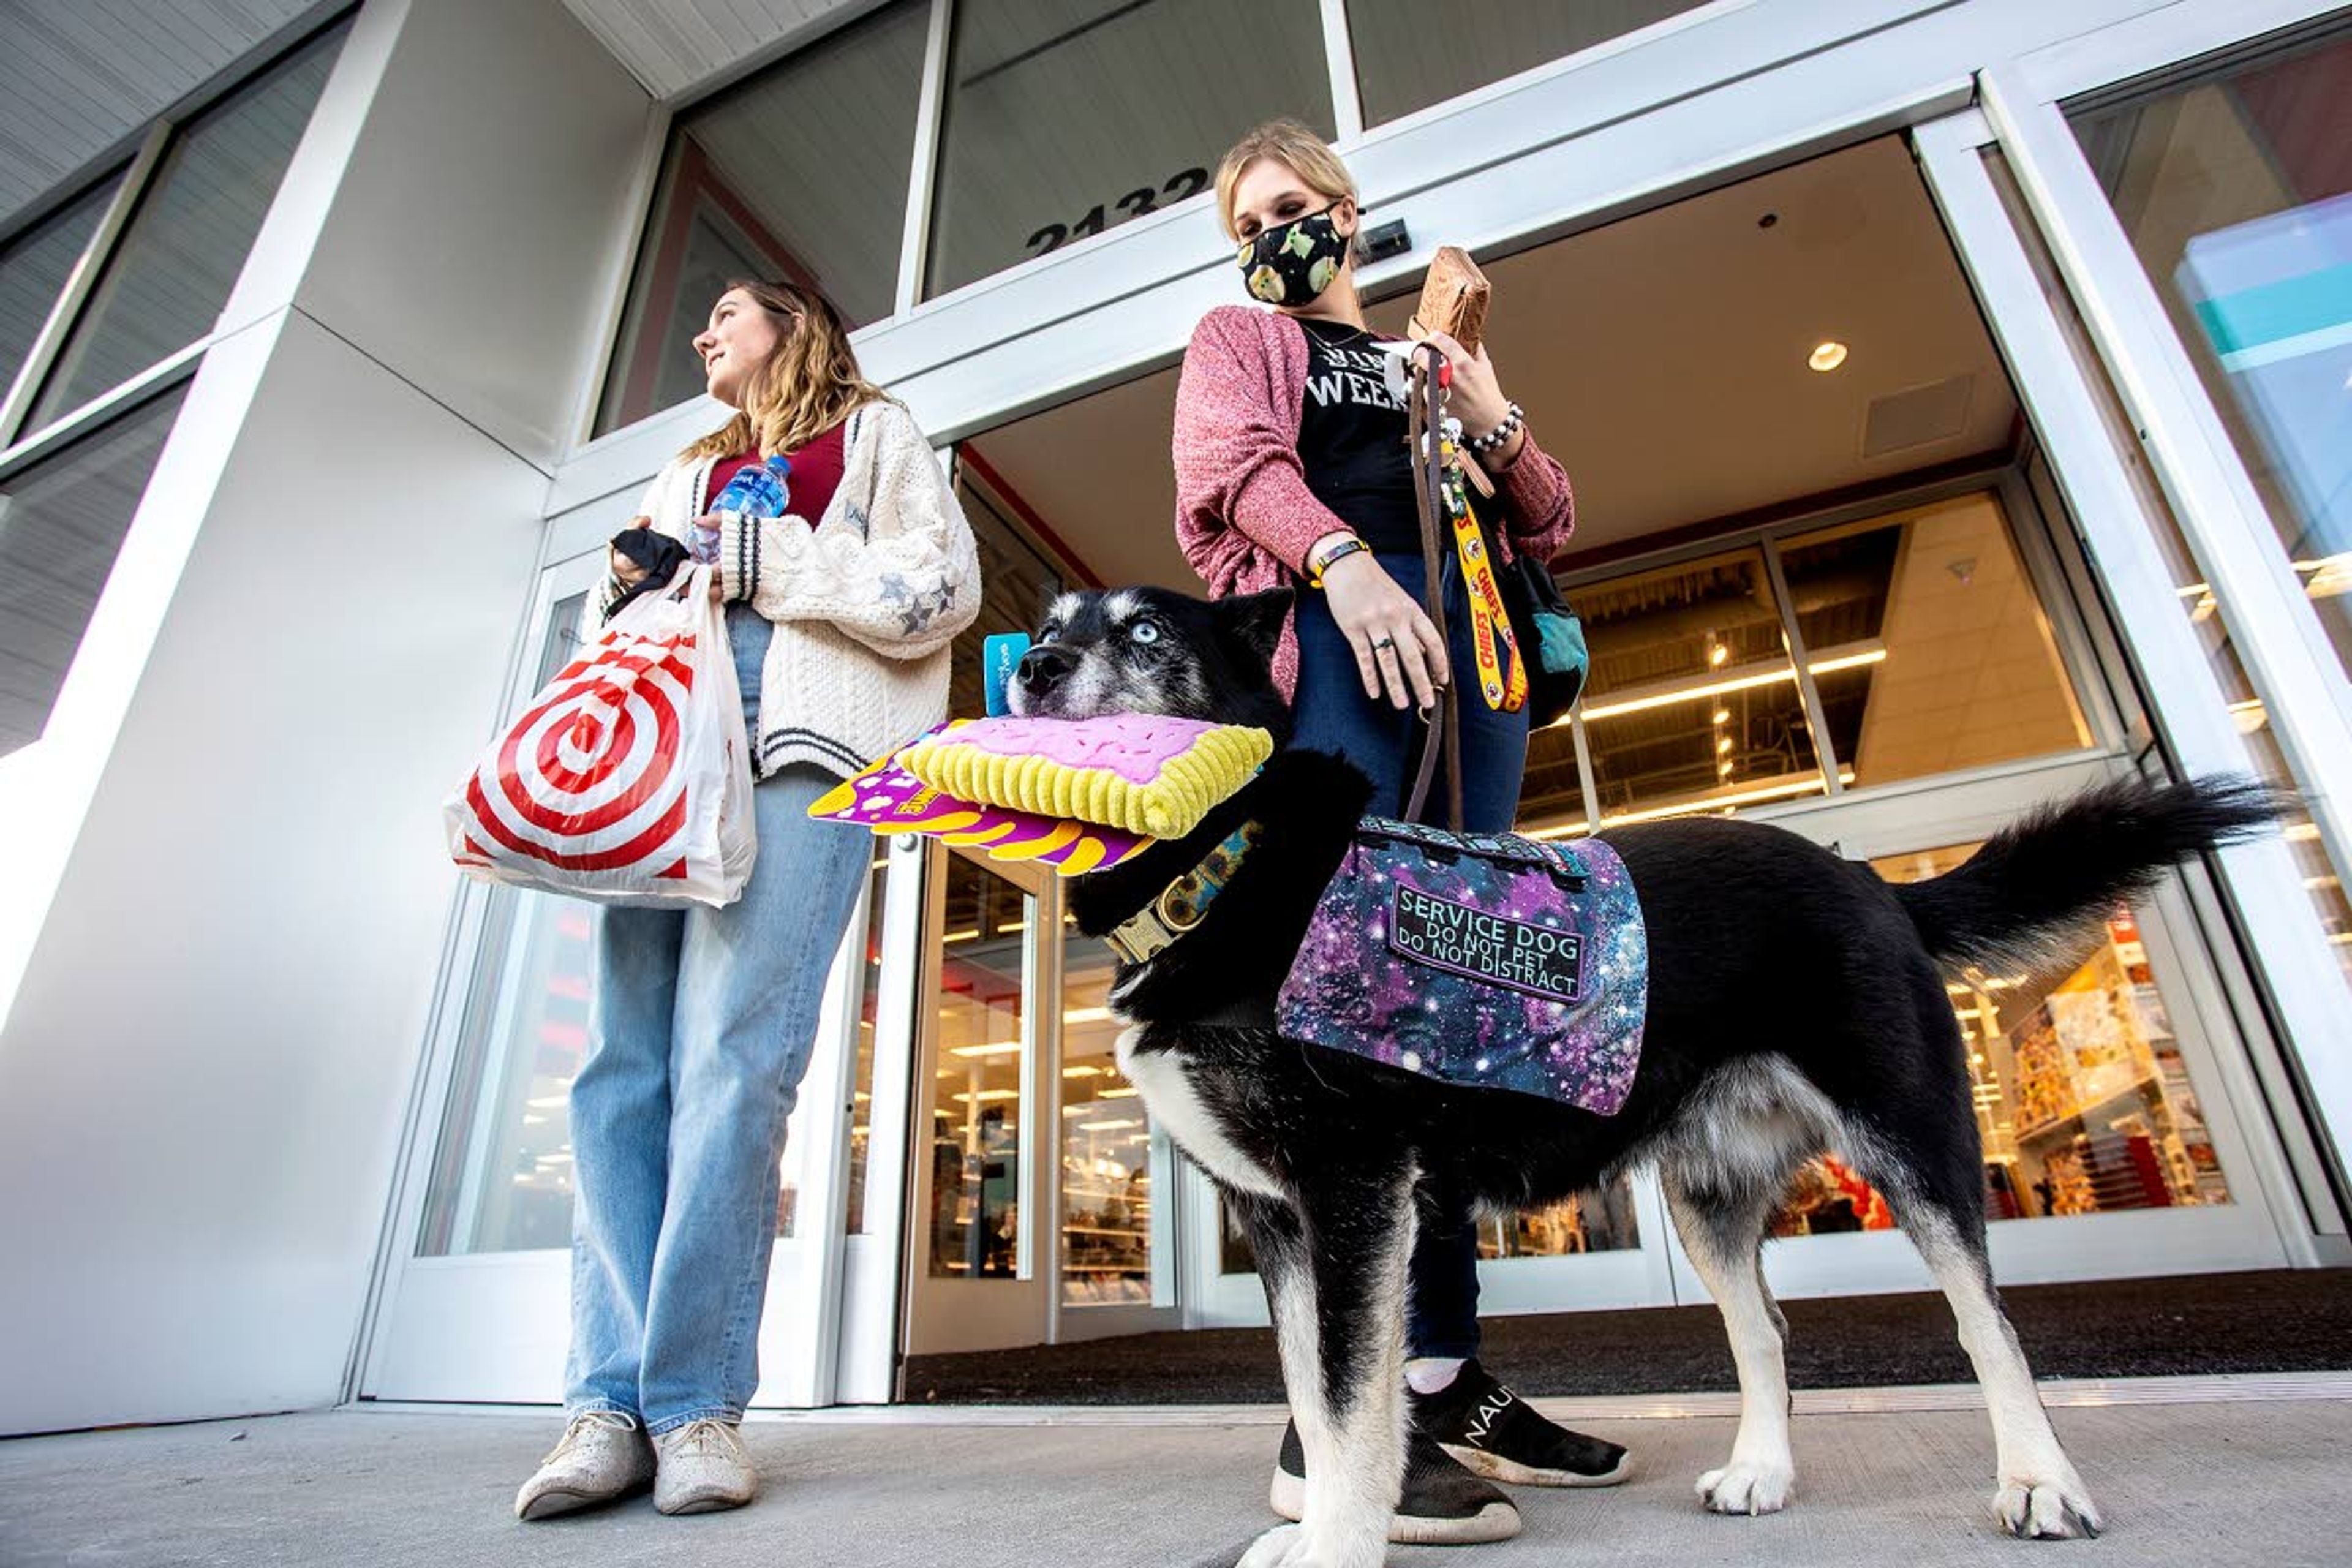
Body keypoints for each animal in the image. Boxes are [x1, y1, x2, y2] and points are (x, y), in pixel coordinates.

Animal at [1011, 582, 2277, 1561]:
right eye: (1051, 624)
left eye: (1144, 631)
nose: (1031, 667)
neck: (1224, 864)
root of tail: (1870, 878)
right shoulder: (1280, 1223)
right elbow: (1317, 1414)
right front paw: (1321, 1524)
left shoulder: (1356, 1196)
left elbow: (1349, 1412)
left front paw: (1341, 1548)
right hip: (1709, 1195)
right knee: (1764, 1333)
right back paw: (1763, 1470)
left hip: (1914, 1142)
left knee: (1986, 1321)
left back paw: (2039, 1482)